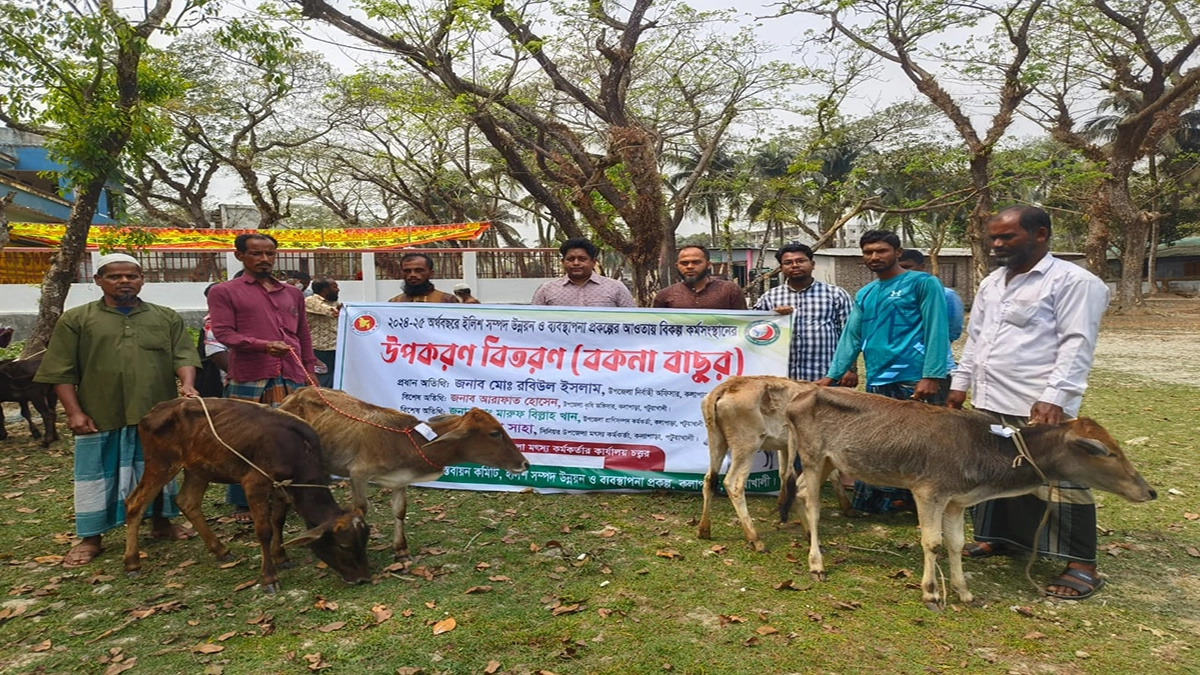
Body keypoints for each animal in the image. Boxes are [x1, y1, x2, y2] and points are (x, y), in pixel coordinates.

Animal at [124, 396, 369, 590]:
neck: (297, 448)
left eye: (364, 541)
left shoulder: (281, 487)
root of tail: (156, 410)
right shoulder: (254, 484)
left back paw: (220, 550)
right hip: (161, 464)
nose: (363, 578)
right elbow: (264, 530)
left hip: (199, 469)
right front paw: (269, 578)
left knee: (187, 502)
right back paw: (132, 562)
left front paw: (281, 556)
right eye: (344, 546)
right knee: (134, 504)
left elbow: (278, 521)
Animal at [280, 386, 530, 559]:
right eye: (495, 433)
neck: (407, 442)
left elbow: (399, 511)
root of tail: (298, 391)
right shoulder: (358, 474)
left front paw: (401, 549)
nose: (525, 463)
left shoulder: (401, 481)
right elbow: (360, 509)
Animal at [782, 386, 1156, 607]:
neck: (980, 455)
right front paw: (932, 592)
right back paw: (816, 563)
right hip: (813, 456)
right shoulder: (928, 491)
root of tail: (797, 398)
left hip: (830, 460)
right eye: (1104, 451)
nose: (1148, 490)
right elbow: (932, 543)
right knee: (813, 503)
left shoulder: (956, 501)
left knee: (799, 490)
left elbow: (956, 544)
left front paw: (963, 591)